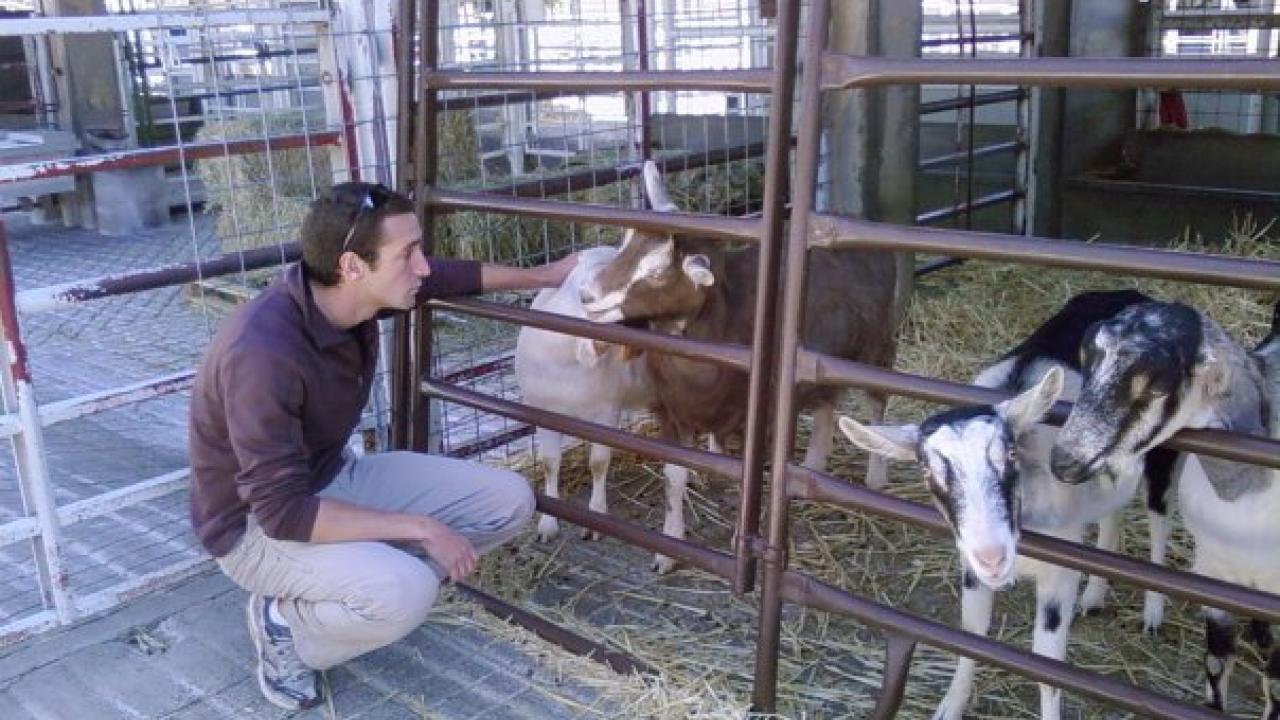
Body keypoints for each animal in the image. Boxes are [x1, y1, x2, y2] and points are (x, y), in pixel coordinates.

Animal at [514, 243, 655, 540]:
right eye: (585, 296)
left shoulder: (606, 412)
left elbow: (598, 463)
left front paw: (595, 518)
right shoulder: (541, 410)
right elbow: (549, 462)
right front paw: (548, 524)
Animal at [839, 289, 1177, 717]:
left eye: (1010, 455)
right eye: (928, 472)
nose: (992, 556)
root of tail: (1133, 294)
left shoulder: (1059, 572)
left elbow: (1047, 666)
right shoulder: (970, 566)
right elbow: (971, 633)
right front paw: (951, 705)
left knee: (1159, 517)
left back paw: (1153, 613)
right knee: (1112, 512)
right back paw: (1095, 596)